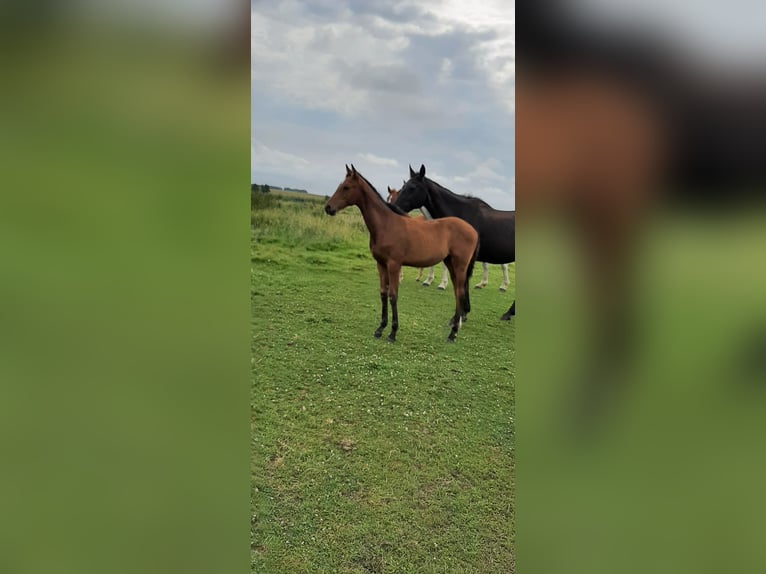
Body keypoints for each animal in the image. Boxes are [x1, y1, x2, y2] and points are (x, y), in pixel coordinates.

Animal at [324, 164, 480, 344]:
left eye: (346, 187)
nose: (328, 207)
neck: (386, 224)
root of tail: (473, 230)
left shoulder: (394, 264)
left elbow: (393, 295)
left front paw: (392, 332)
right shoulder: (381, 264)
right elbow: (383, 293)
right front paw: (380, 329)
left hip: (460, 266)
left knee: (460, 293)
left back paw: (453, 333)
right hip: (451, 263)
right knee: (457, 293)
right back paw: (454, 328)